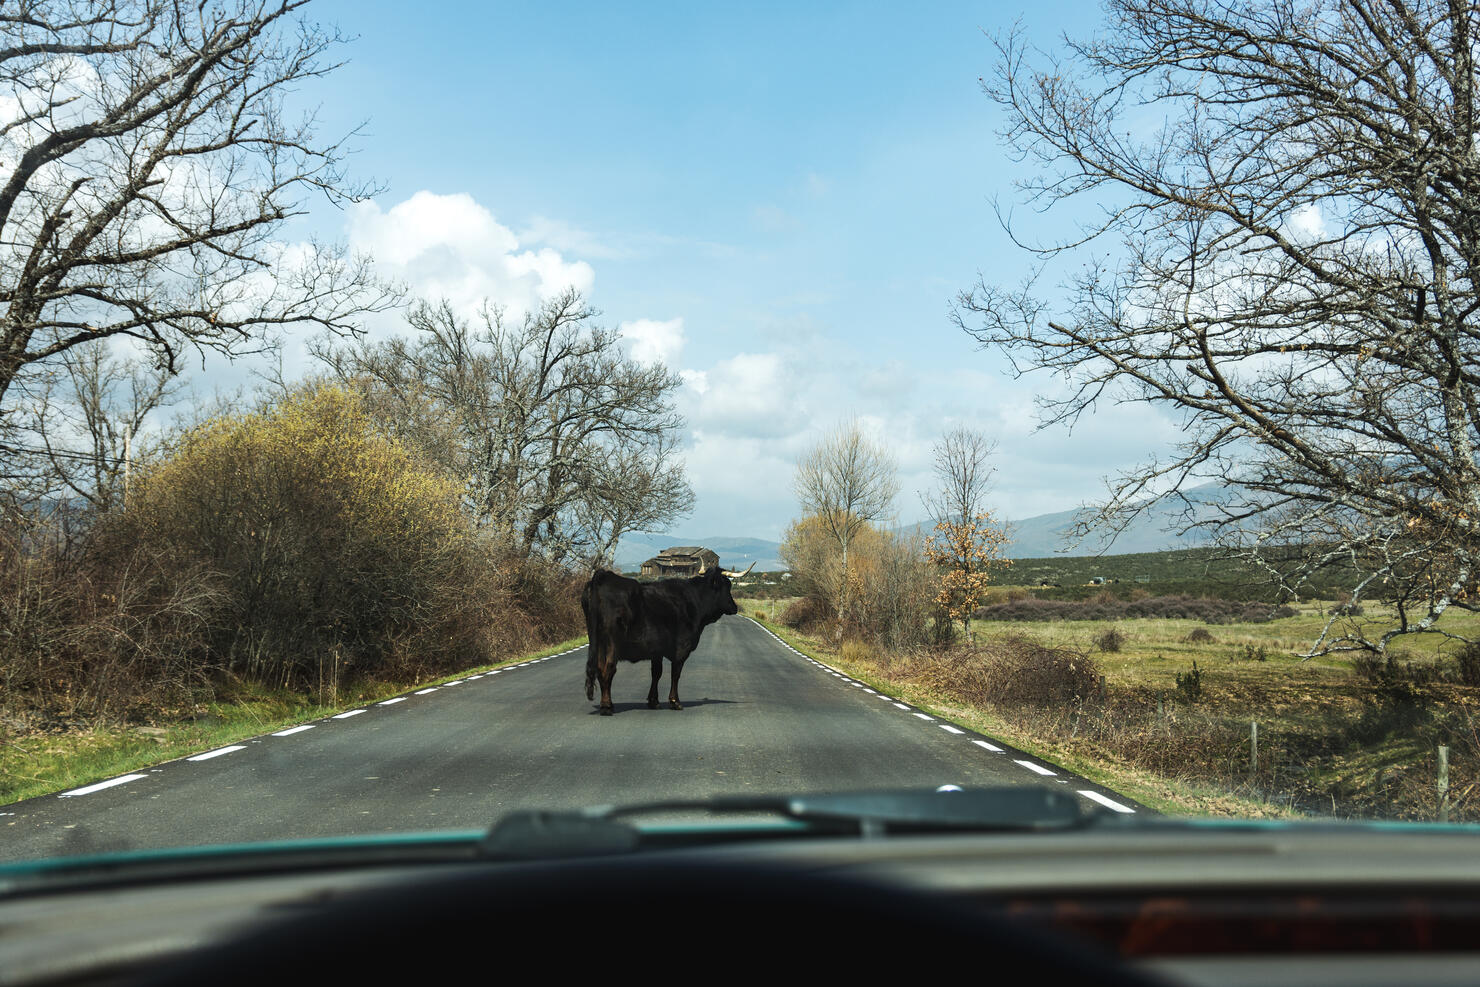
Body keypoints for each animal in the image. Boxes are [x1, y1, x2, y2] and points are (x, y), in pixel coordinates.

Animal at [577, 568, 740, 713]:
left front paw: (653, 701)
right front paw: (675, 701)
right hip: (612, 642)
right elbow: (675, 674)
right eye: (727, 586)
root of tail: (604, 575)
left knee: (599, 668)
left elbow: (656, 673)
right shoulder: (682, 648)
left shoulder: (656, 651)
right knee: (608, 668)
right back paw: (607, 706)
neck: (694, 602)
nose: (735, 607)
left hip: (597, 641)